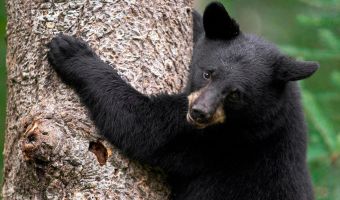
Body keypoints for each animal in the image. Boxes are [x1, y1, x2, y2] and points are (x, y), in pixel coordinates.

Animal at [47, 1, 318, 200]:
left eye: (235, 94)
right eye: (208, 73)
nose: (199, 112)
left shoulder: (220, 140)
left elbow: (144, 128)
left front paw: (71, 52)